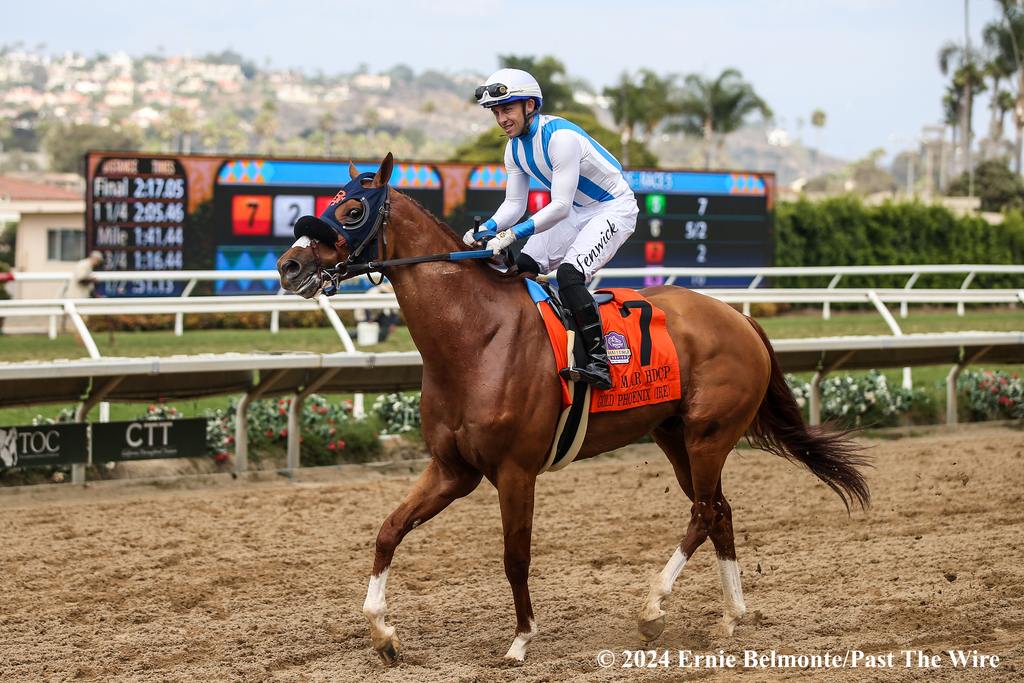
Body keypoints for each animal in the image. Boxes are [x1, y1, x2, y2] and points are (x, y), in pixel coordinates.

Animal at [276, 152, 868, 663]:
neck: (475, 337)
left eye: (352, 211)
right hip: (675, 434)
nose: (289, 265)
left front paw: (520, 640)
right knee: (719, 510)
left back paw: (653, 608)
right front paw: (382, 631)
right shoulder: (453, 469)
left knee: (704, 511)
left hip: (709, 434)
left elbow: (515, 556)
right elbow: (388, 530)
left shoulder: (515, 471)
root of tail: (740, 319)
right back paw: (732, 615)